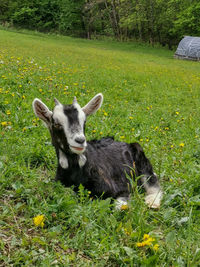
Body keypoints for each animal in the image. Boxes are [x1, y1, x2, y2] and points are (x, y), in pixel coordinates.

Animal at [32, 93, 162, 209]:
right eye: (56, 124)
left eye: (84, 121)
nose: (80, 140)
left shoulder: (120, 187)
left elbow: (120, 206)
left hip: (141, 157)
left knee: (152, 180)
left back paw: (152, 203)